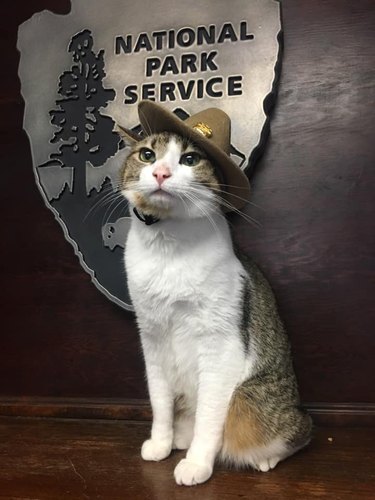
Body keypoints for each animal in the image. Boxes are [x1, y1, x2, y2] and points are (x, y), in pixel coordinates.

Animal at [119, 99, 312, 486]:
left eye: (190, 159)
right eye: (147, 155)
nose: (161, 173)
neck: (167, 246)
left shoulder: (219, 342)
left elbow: (210, 417)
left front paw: (196, 464)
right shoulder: (152, 337)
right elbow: (159, 402)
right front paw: (160, 443)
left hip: (251, 400)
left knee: (293, 431)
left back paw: (265, 458)